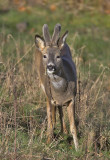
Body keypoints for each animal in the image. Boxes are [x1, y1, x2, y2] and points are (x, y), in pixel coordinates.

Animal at [34, 23, 78, 151]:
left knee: (60, 111)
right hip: (45, 92)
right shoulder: (51, 98)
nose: (50, 66)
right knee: (51, 116)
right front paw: (49, 142)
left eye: (58, 56)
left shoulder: (72, 99)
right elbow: (51, 121)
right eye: (45, 56)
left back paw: (64, 131)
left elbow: (73, 126)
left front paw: (78, 148)